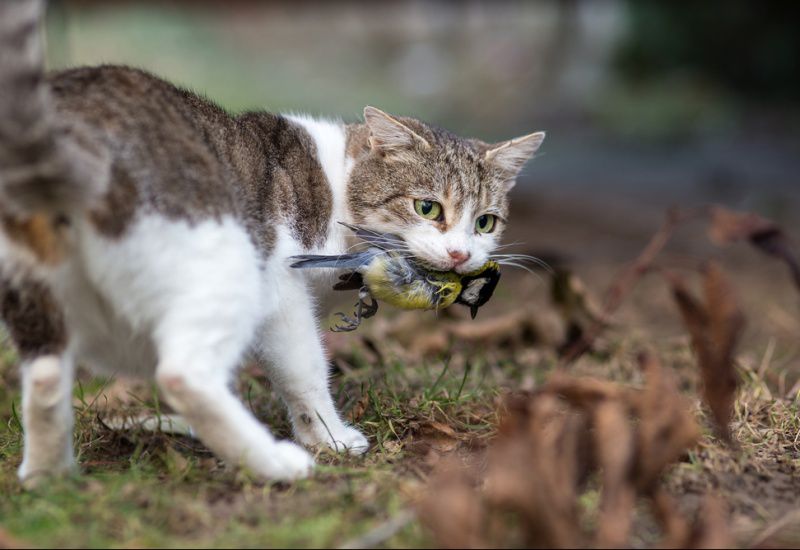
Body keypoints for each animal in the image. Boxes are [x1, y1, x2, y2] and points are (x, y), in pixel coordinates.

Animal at [0, 0, 544, 486]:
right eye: (427, 208)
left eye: (486, 222)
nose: (460, 254)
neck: (336, 185)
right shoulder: (281, 289)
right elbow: (304, 372)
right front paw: (329, 439)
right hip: (226, 264)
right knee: (182, 373)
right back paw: (274, 464)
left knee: (45, 377)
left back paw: (50, 479)